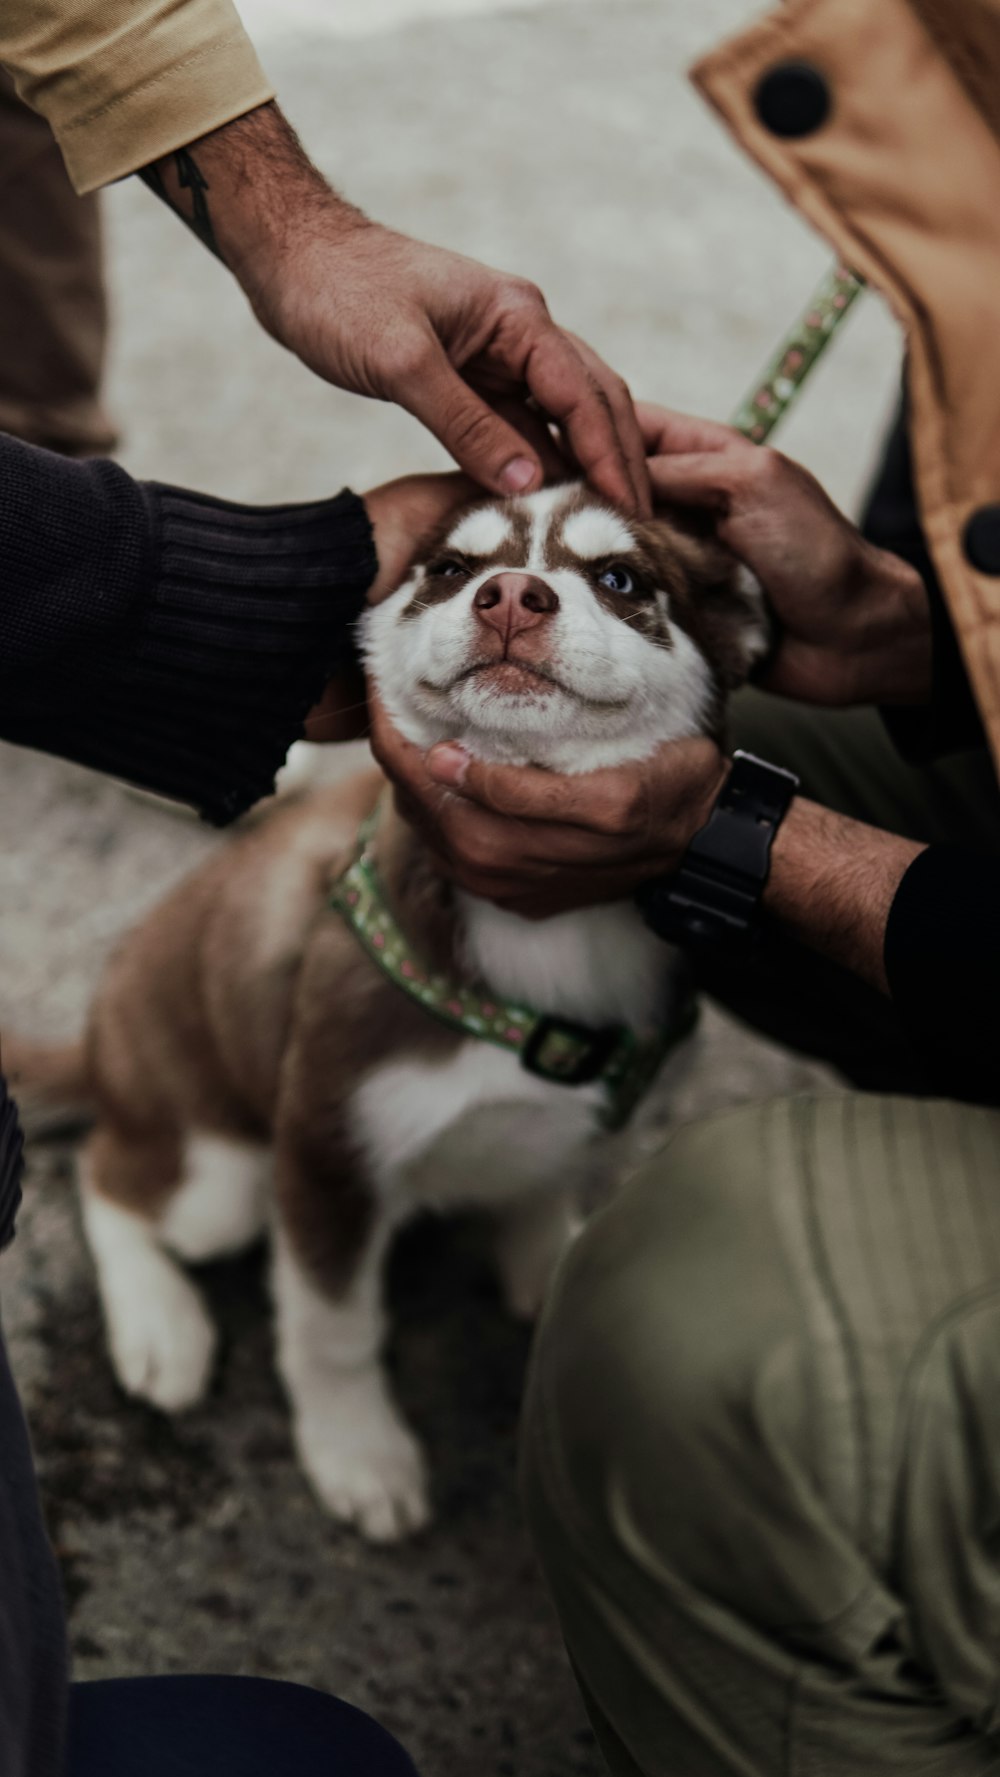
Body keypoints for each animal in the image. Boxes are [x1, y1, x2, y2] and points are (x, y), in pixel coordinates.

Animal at [11, 486, 770, 1542]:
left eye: (622, 578)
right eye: (449, 569)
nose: (511, 596)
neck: (545, 931)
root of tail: (96, 1042)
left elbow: (544, 1180)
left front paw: (548, 1263)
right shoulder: (328, 1151)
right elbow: (333, 1329)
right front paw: (357, 1451)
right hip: (220, 1172)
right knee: (108, 1175)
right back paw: (163, 1325)